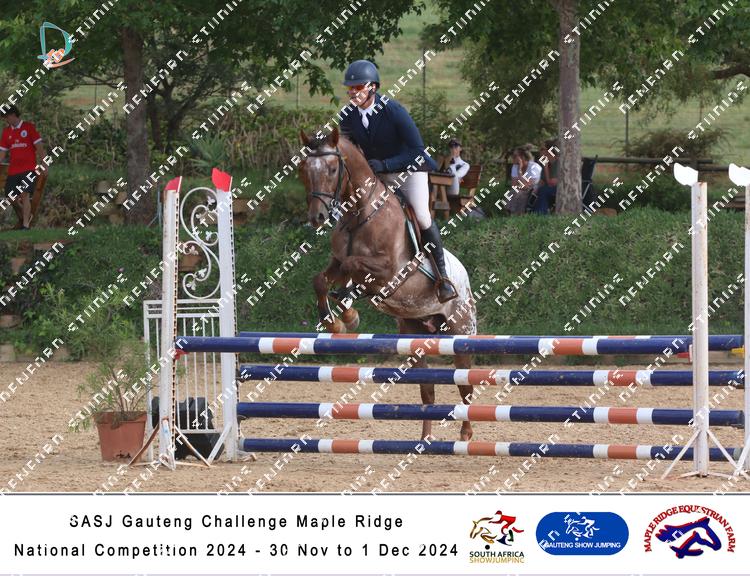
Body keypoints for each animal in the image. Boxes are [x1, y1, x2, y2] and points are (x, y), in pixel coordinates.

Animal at [298, 127, 478, 441]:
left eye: (332, 169)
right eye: (305, 171)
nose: (317, 217)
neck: (360, 212)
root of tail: (464, 277)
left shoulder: (390, 272)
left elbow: (353, 268)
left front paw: (347, 313)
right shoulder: (337, 262)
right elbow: (321, 279)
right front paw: (337, 320)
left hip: (461, 331)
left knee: (465, 385)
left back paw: (466, 434)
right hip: (414, 335)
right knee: (428, 390)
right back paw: (424, 440)